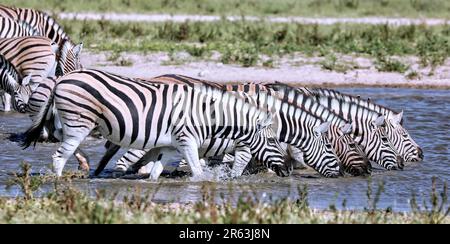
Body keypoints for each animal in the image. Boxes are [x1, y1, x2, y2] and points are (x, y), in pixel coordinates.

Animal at [22, 68, 294, 177]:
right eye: (273, 141)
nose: (286, 170)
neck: (208, 115)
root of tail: (61, 78)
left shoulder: (168, 145)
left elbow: (156, 172)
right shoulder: (187, 141)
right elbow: (197, 172)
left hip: (76, 122)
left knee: (61, 141)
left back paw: (86, 165)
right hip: (79, 121)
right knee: (60, 155)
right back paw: (62, 184)